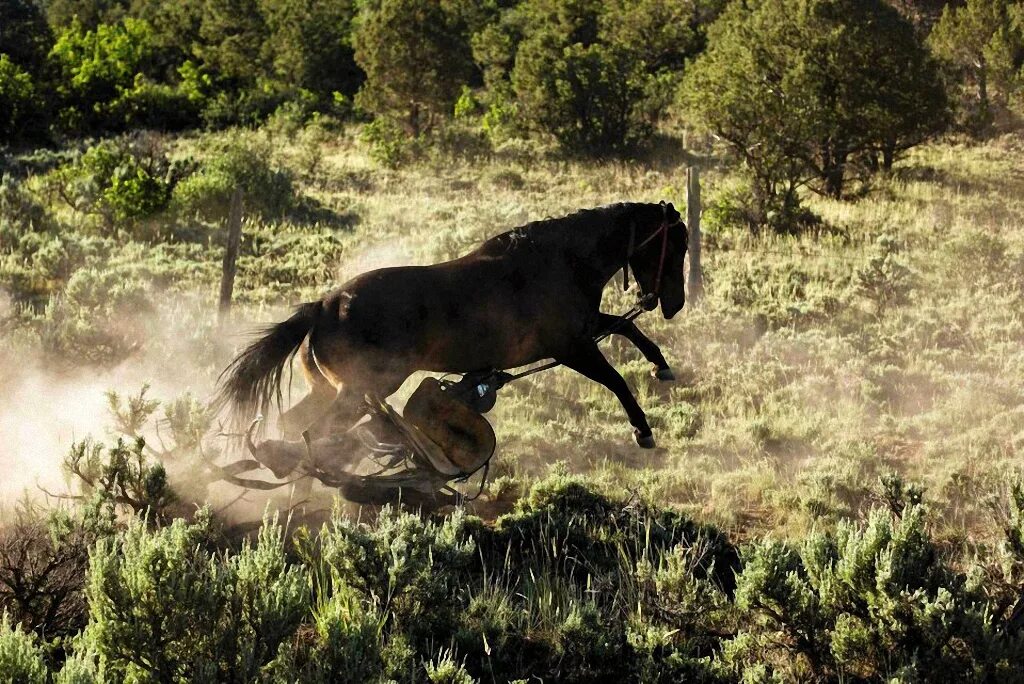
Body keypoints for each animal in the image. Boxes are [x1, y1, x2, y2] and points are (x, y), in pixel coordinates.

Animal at [221, 202, 692, 448]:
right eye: (676, 246)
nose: (674, 304)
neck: (561, 262)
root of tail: (324, 306)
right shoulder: (572, 348)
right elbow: (616, 380)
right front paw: (643, 430)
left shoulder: (585, 329)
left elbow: (629, 330)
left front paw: (662, 367)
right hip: (362, 389)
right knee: (315, 433)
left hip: (330, 389)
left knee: (293, 425)